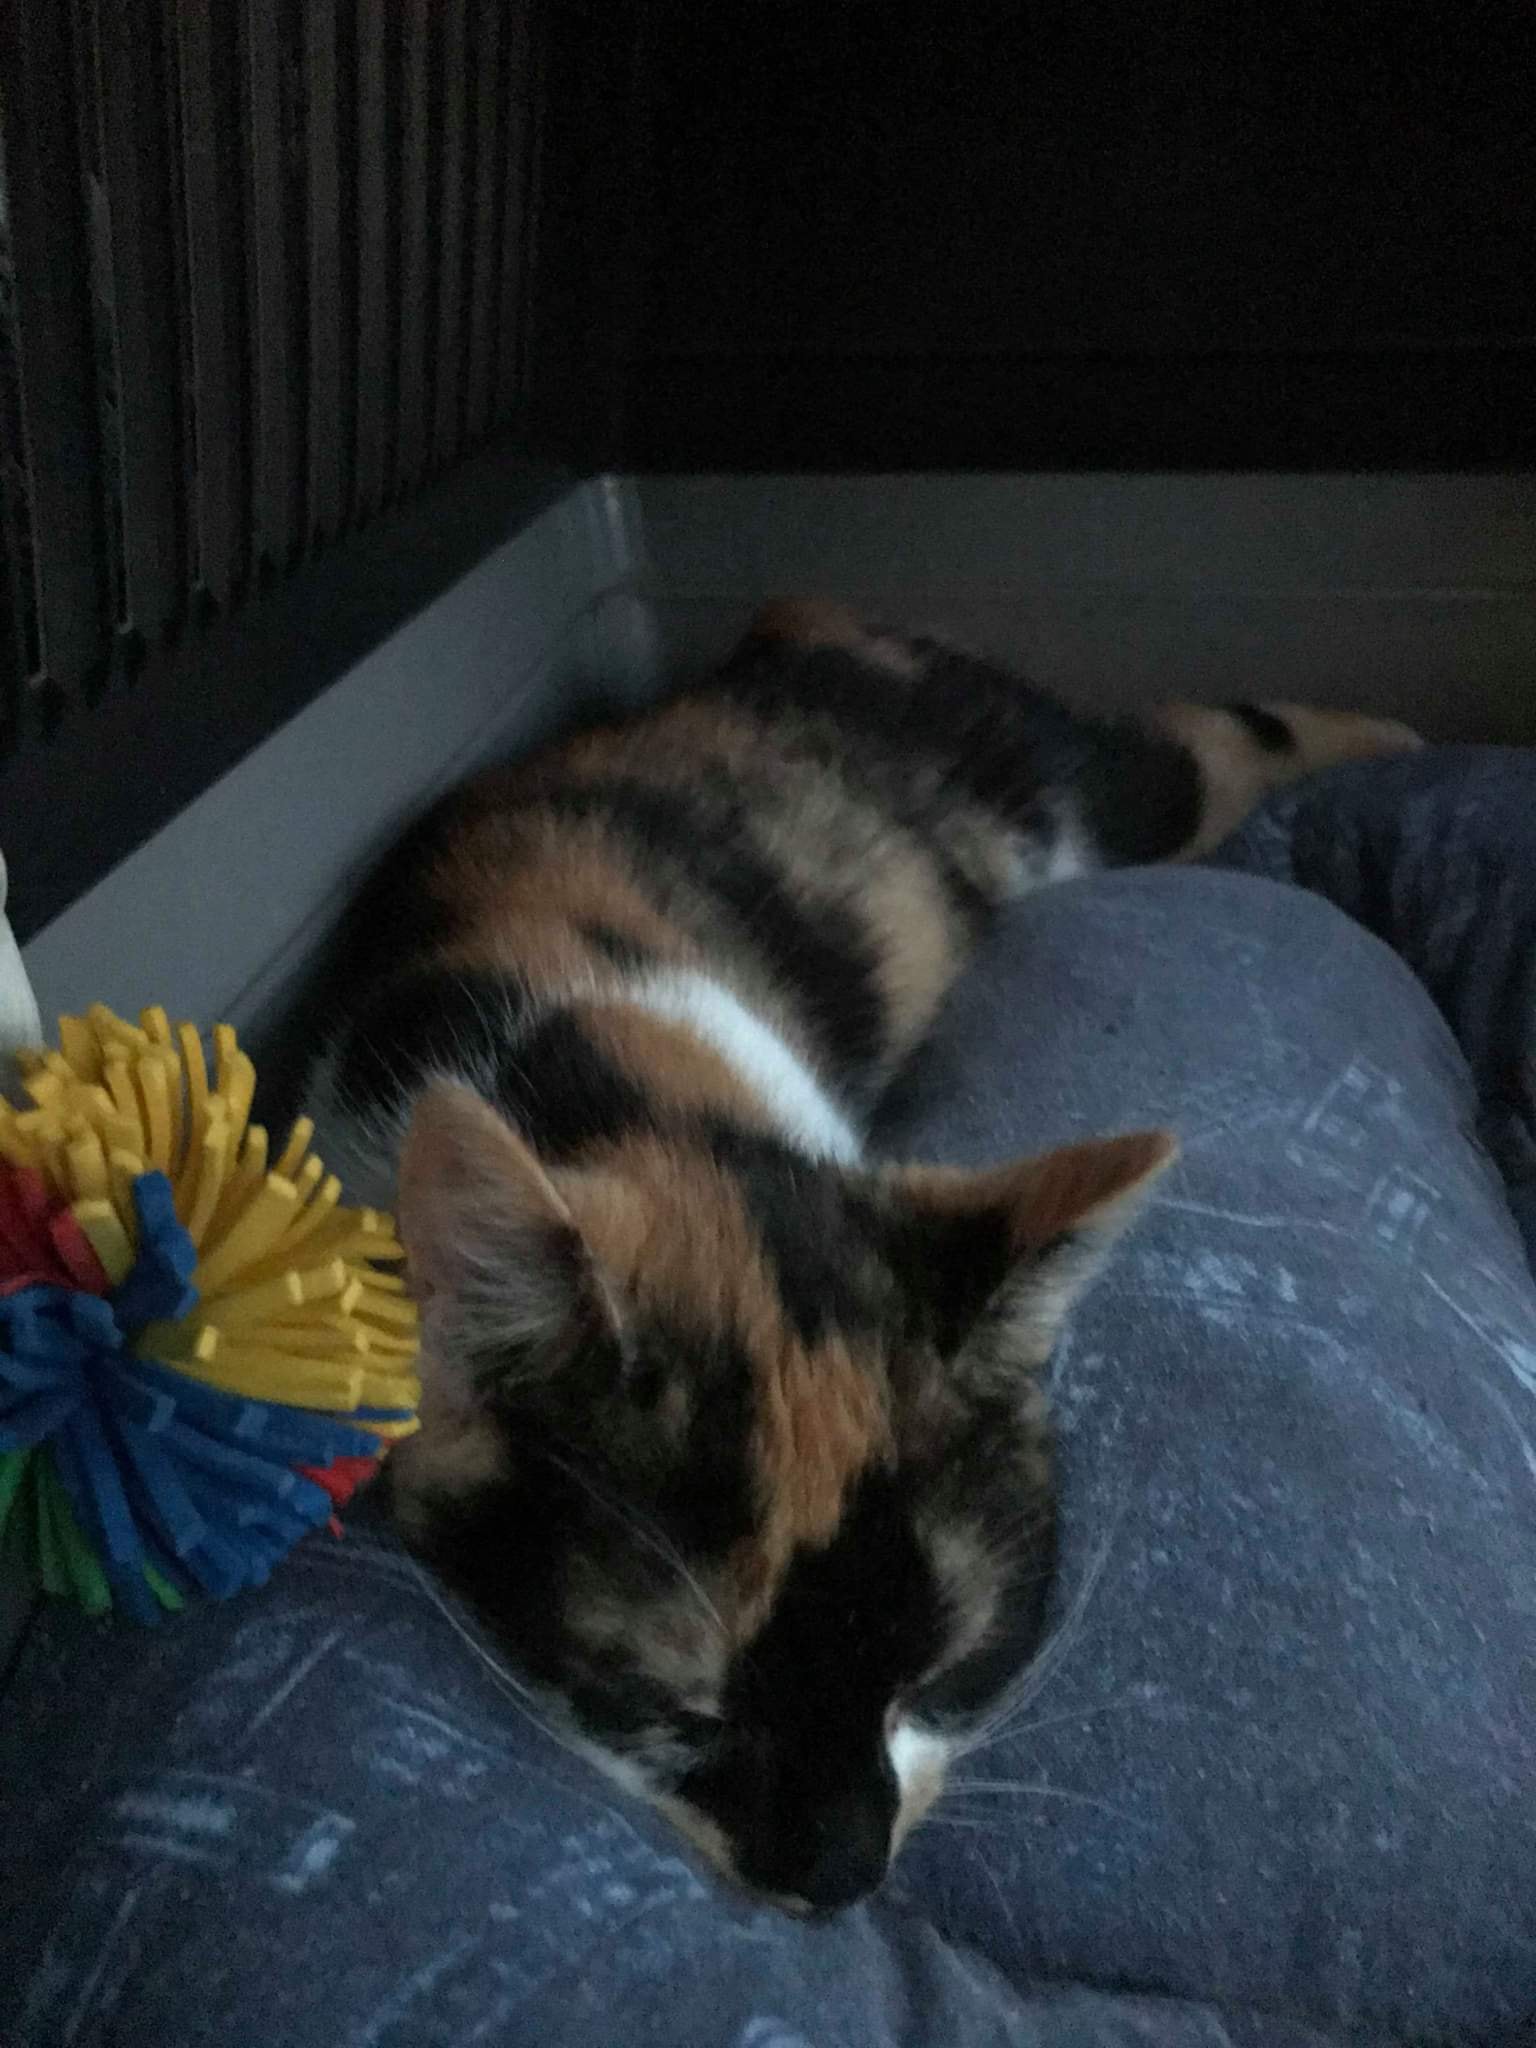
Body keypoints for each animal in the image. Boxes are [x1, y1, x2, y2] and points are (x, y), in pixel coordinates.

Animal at [310, 599, 1419, 1914]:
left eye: (936, 1676)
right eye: (676, 1710)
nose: (839, 1876)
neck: (604, 1081)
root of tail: (818, 626)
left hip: (1065, 795)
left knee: (1200, 747)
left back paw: (1393, 744)